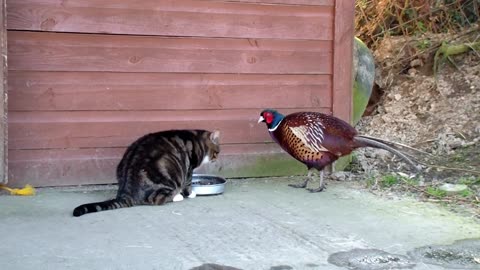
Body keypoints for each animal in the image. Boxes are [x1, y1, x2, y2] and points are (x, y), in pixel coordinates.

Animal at [72, 129, 221, 217]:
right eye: (217, 151)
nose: (217, 158)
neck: (197, 140)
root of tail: (125, 192)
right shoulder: (189, 167)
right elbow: (188, 183)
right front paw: (190, 194)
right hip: (166, 174)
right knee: (157, 199)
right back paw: (176, 196)